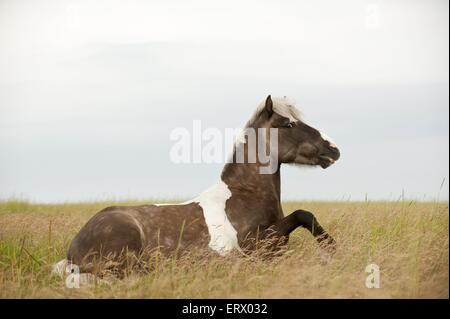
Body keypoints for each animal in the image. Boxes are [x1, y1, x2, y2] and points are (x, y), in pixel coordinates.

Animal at [52, 94, 342, 276]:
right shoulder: (257, 247)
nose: (334, 149)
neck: (245, 195)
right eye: (289, 124)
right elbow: (303, 214)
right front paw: (331, 248)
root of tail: (71, 254)